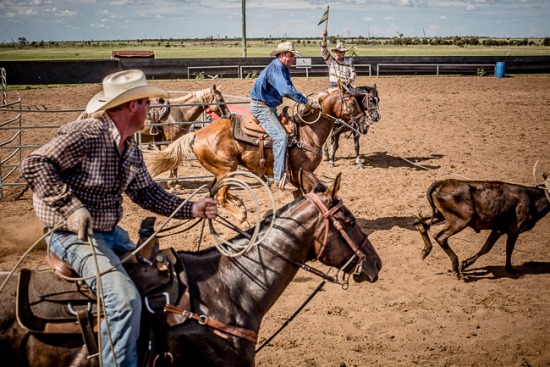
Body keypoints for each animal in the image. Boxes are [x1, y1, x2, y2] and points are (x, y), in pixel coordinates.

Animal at [418, 171, 550, 278]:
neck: (531, 198)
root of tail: (440, 183)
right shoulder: (514, 230)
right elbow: (508, 249)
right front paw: (509, 269)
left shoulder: (498, 228)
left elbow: (486, 247)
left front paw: (465, 264)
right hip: (460, 220)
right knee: (440, 237)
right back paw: (456, 270)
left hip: (439, 215)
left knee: (420, 223)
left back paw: (426, 250)